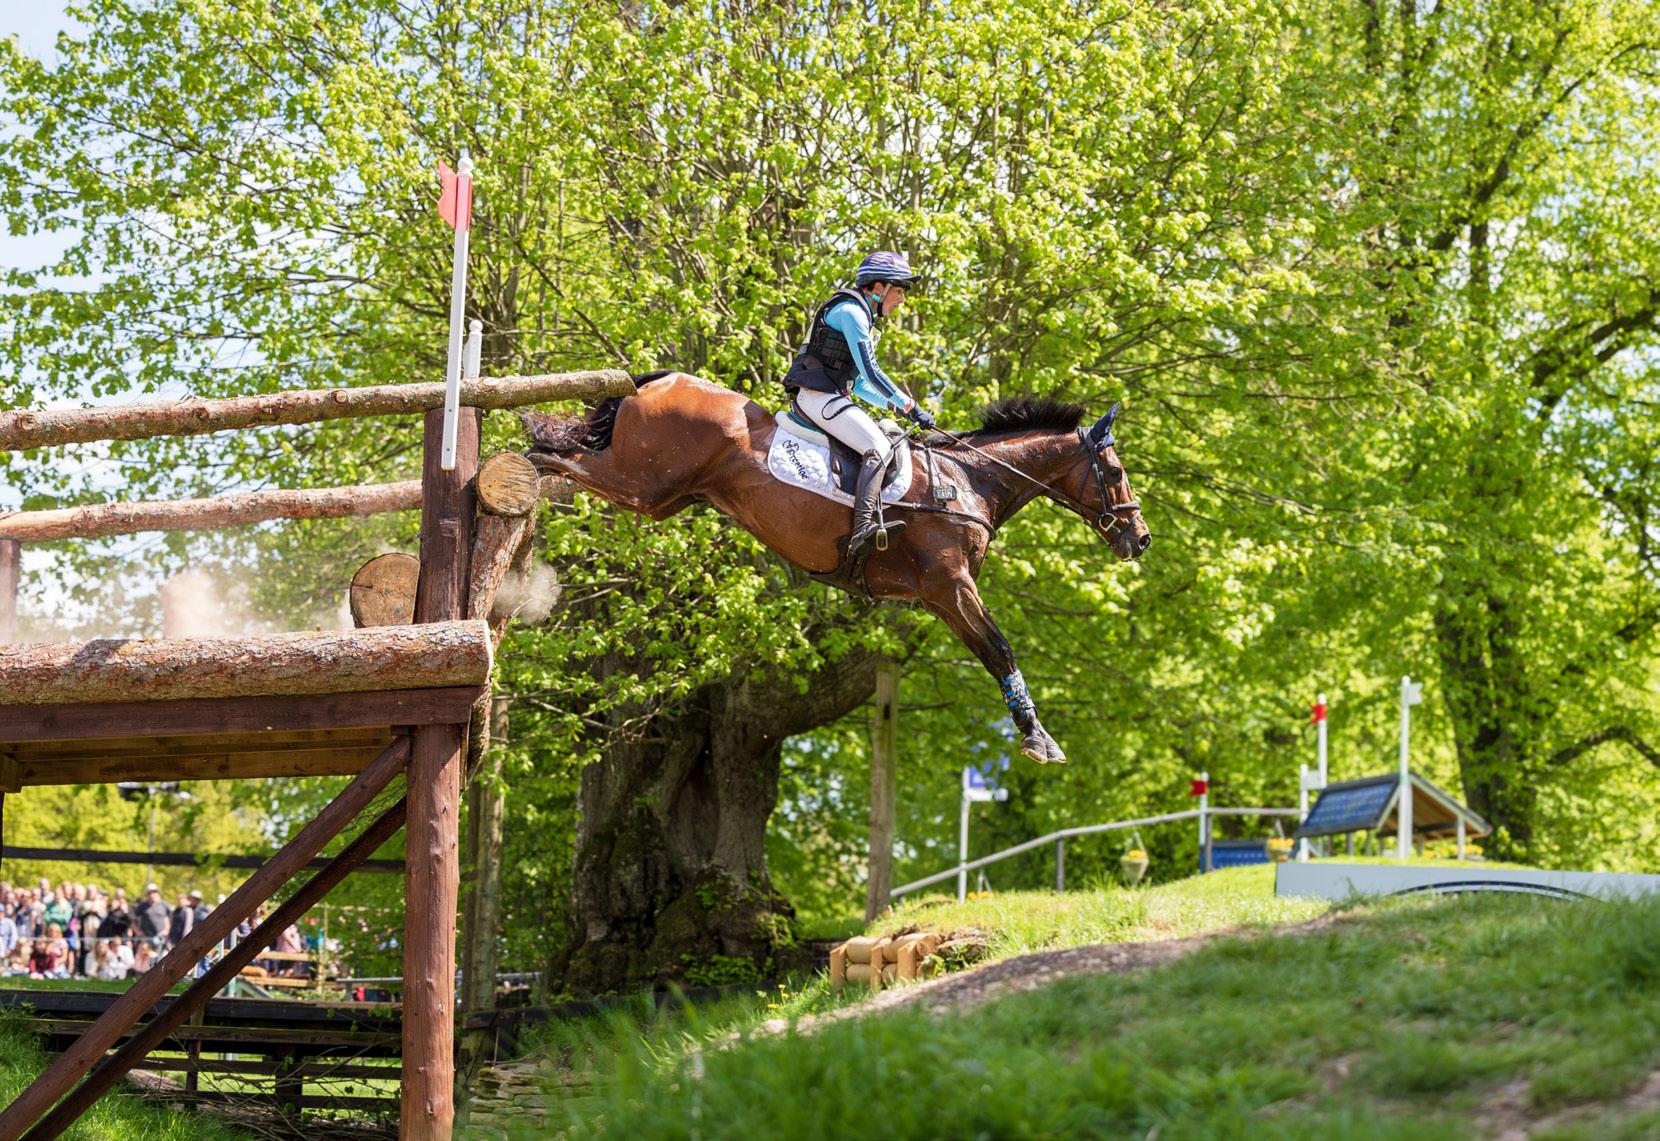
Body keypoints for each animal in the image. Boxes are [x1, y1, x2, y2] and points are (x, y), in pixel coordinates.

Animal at [522, 371, 1149, 763]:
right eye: (1117, 473)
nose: (1140, 539)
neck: (968, 480)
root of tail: (657, 380)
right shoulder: (951, 585)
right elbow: (1001, 650)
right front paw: (1040, 741)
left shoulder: (936, 598)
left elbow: (991, 651)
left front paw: (1036, 735)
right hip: (644, 483)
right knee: (558, 457)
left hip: (663, 496)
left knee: (568, 455)